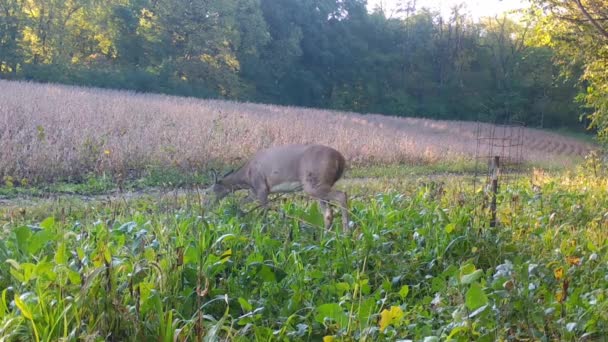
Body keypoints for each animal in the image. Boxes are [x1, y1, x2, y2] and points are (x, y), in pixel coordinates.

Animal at [205, 143, 350, 234]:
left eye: (208, 192)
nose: (207, 207)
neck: (247, 176)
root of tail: (341, 159)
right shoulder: (254, 191)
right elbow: (241, 203)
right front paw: (239, 216)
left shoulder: (261, 187)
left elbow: (265, 211)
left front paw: (265, 230)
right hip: (319, 185)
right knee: (328, 212)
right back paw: (325, 236)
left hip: (314, 184)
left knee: (341, 195)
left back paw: (346, 232)